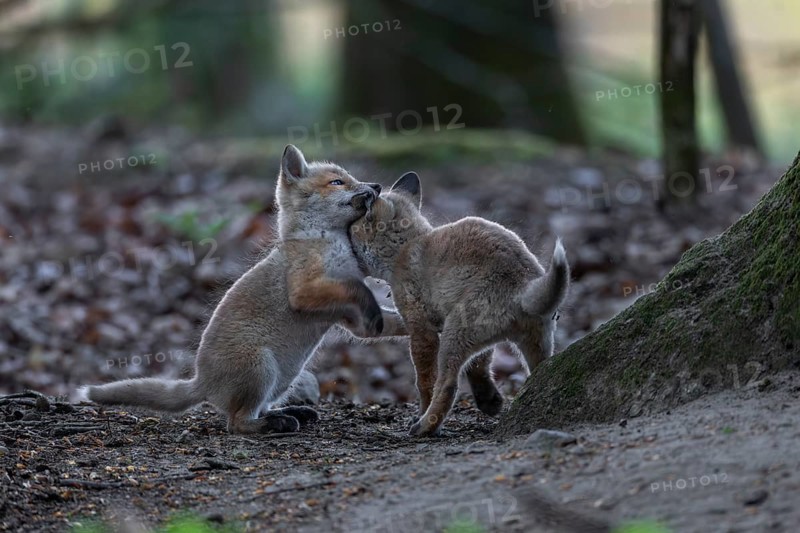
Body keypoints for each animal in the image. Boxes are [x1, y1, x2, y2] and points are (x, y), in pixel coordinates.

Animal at [84, 145, 406, 434]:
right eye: (337, 182)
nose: (376, 186)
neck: (325, 241)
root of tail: (201, 381)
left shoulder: (349, 319)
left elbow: (388, 320)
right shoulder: (304, 291)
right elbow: (357, 289)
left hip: (282, 380)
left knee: (259, 409)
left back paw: (290, 413)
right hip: (261, 368)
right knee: (237, 423)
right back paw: (274, 424)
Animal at [349, 171, 569, 436]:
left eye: (349, 231)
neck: (407, 246)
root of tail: (524, 286)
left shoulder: (421, 327)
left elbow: (425, 382)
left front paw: (421, 412)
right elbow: (478, 366)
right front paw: (489, 399)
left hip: (454, 336)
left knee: (448, 385)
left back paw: (425, 426)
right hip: (536, 342)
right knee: (542, 370)